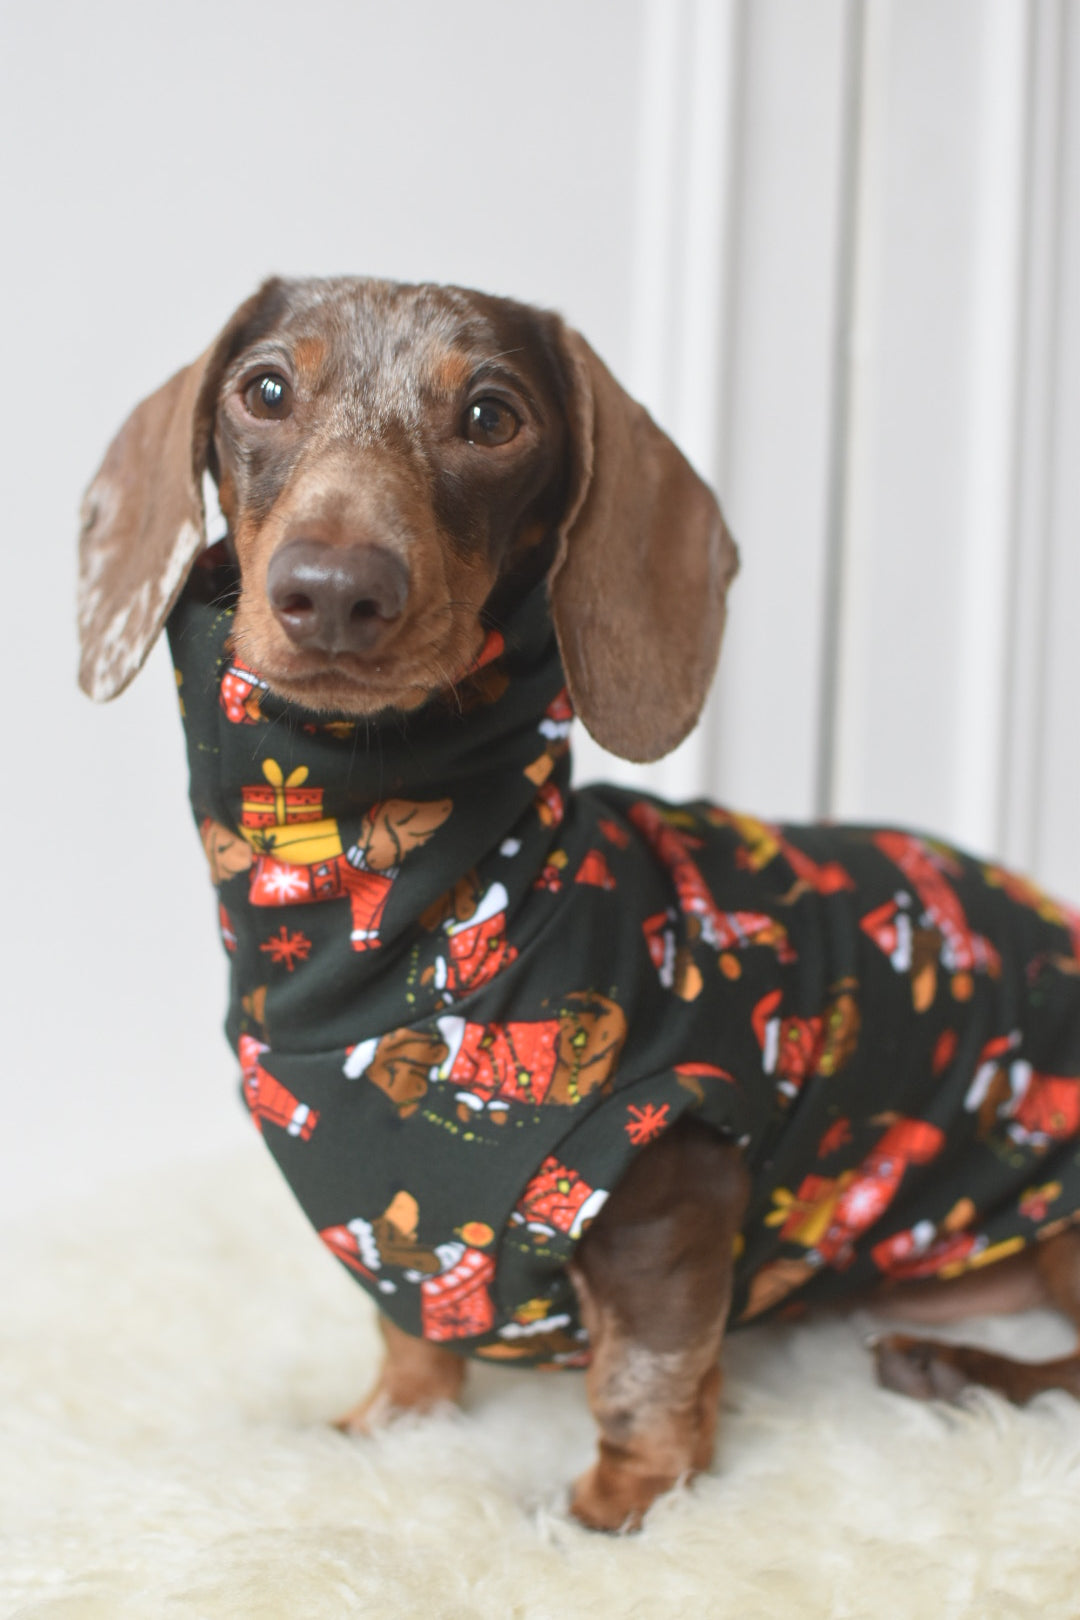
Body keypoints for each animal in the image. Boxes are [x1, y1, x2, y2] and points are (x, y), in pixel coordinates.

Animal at [78, 277, 1080, 1531]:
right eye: (262, 390)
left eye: (491, 417)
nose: (337, 593)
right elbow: (410, 1344)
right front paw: (384, 1432)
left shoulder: (670, 1179)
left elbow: (643, 1379)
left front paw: (610, 1516)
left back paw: (961, 1375)